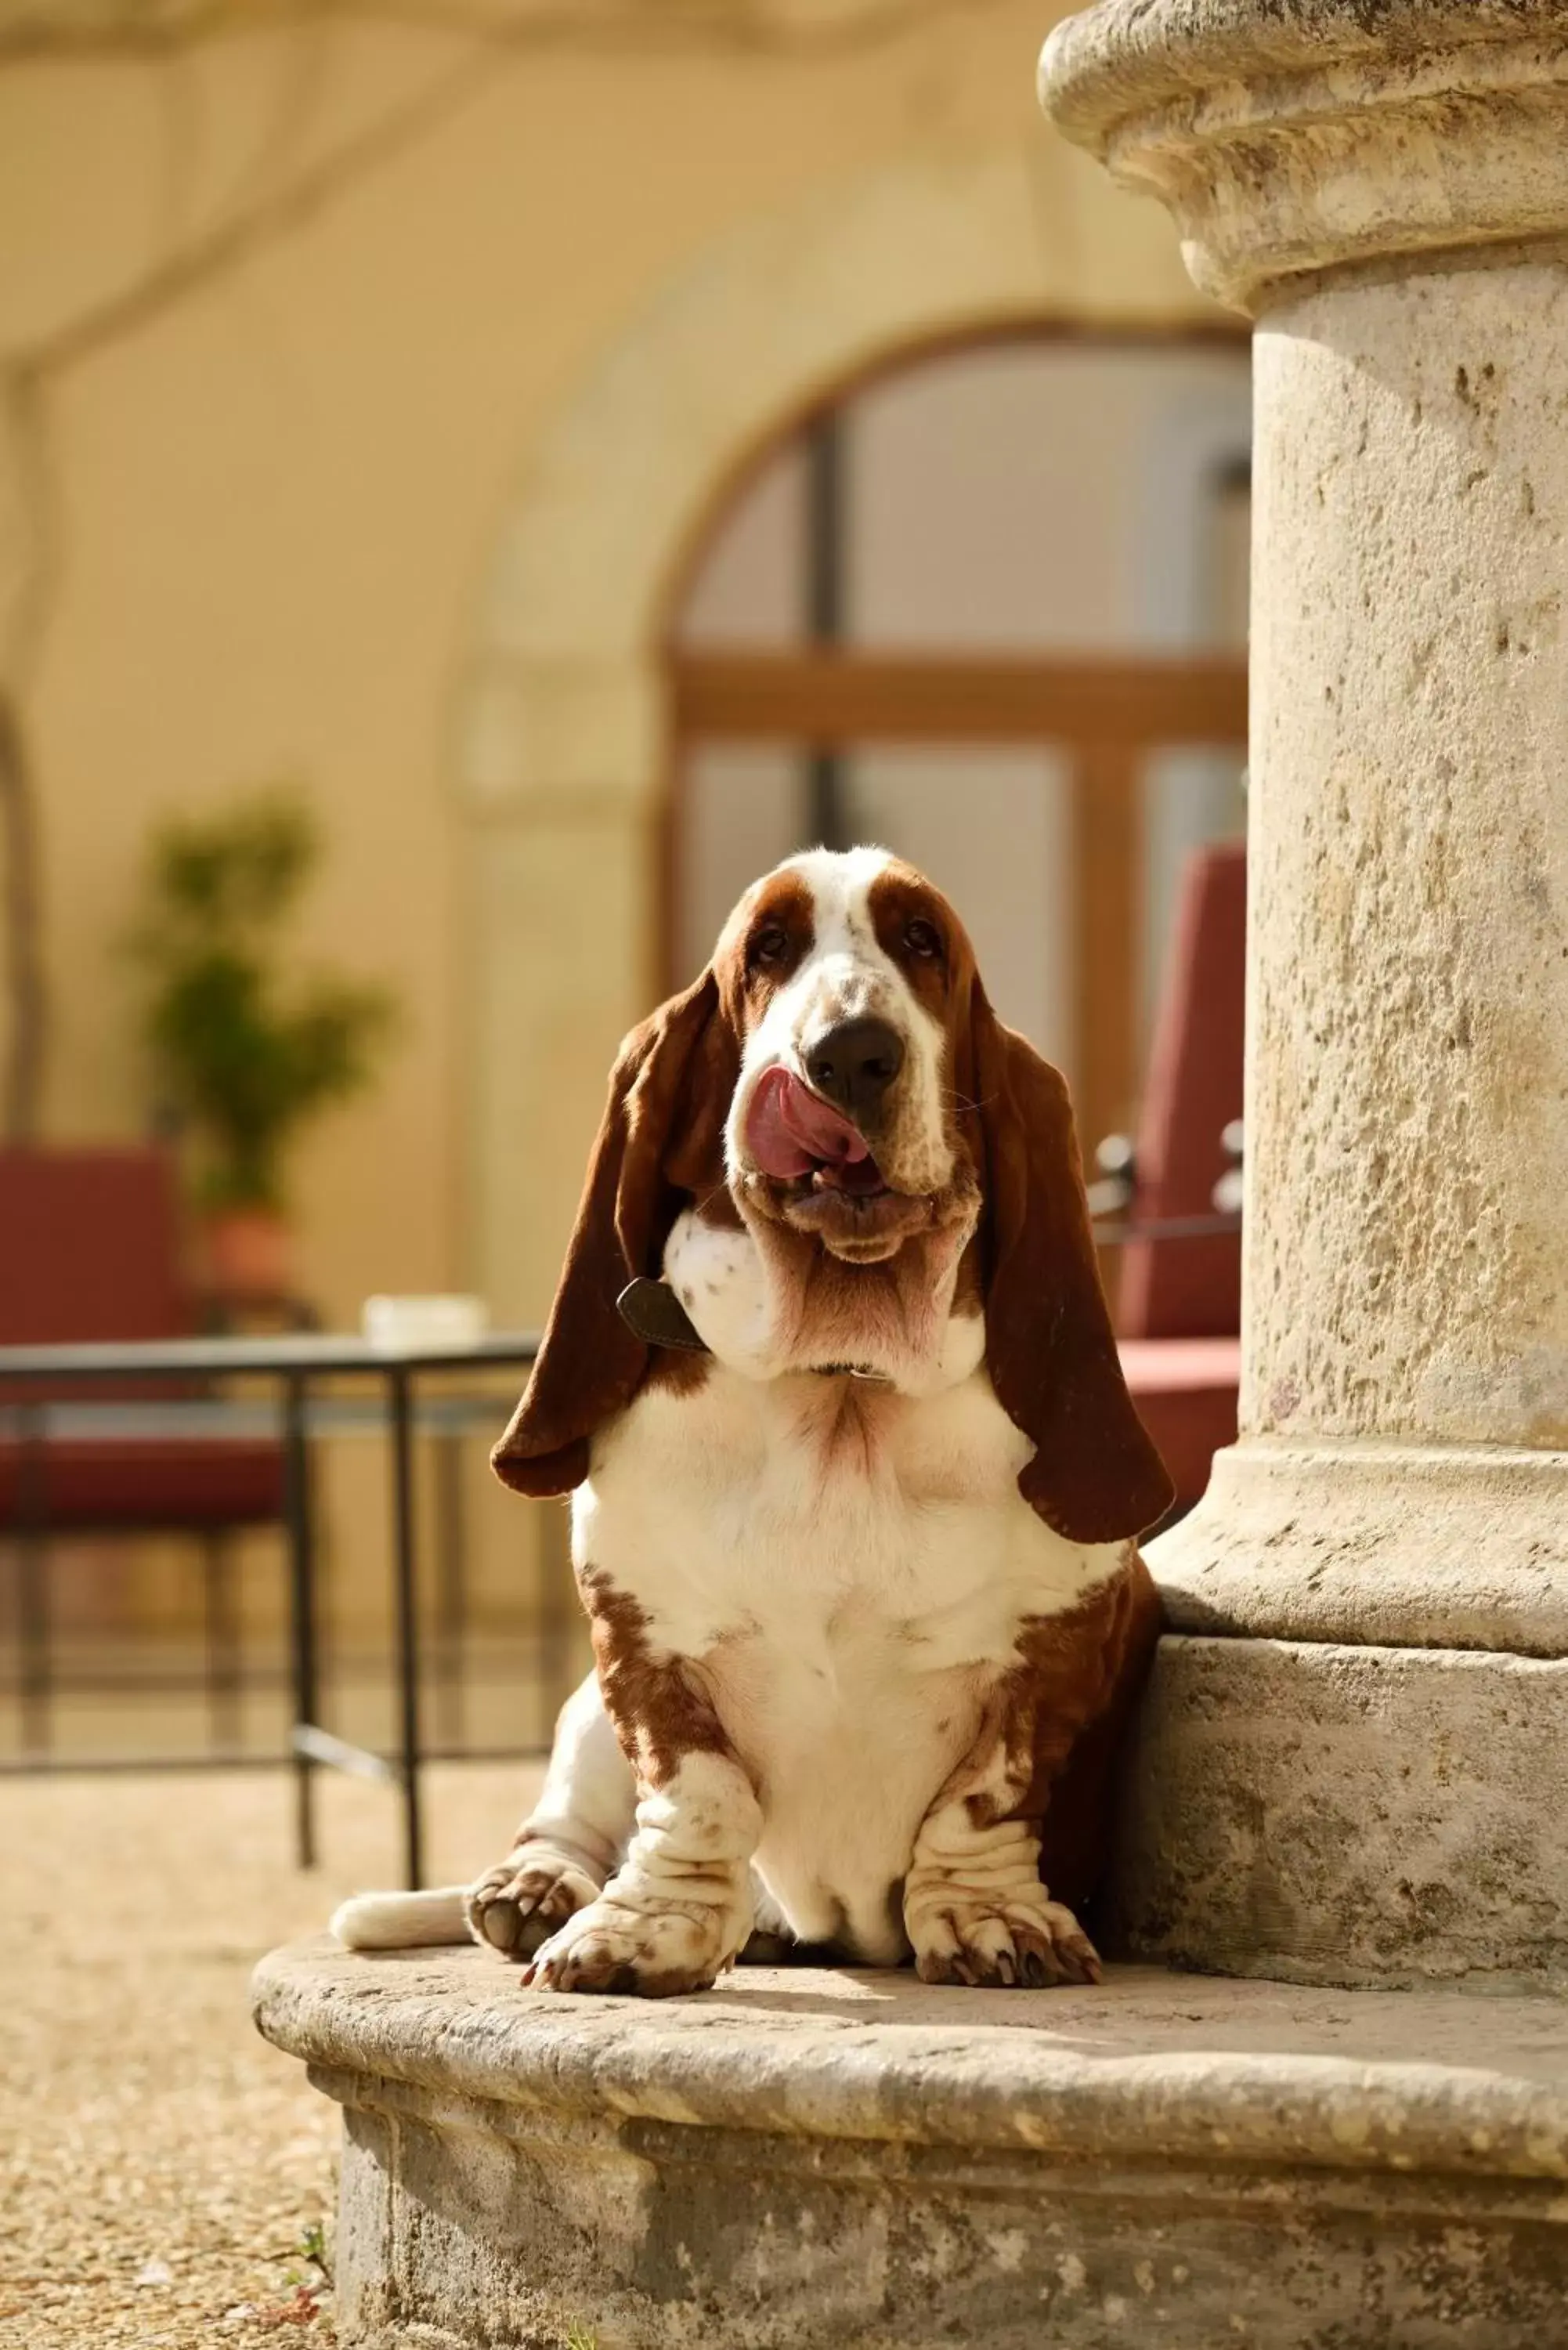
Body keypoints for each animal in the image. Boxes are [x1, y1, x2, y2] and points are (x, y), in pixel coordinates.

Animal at [338, 855, 1170, 1993]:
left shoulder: (1056, 1643)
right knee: (567, 1820)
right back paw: (534, 1889)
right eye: (767, 950)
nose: (849, 1054)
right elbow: (697, 1794)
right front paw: (637, 1932)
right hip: (579, 1717)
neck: (842, 1381)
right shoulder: (637, 1640)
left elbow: (980, 1799)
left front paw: (995, 1921)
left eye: (921, 943)